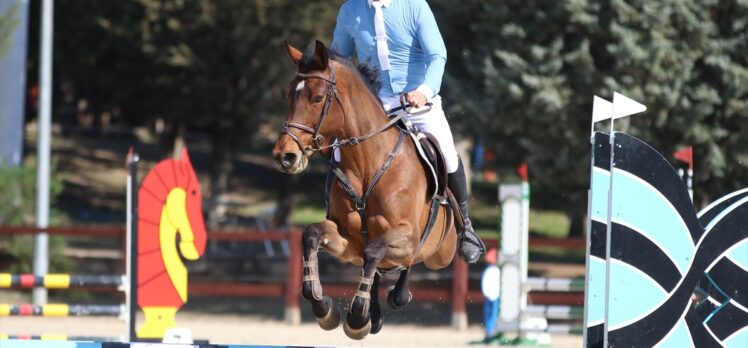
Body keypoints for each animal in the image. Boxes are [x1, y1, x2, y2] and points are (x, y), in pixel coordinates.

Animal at [268, 40, 456, 340]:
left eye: (317, 98)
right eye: (288, 94)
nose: (285, 156)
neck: (368, 162)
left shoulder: (407, 237)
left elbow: (374, 251)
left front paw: (357, 317)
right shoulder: (348, 240)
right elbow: (311, 235)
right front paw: (324, 308)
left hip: (441, 253)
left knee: (407, 263)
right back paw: (377, 313)